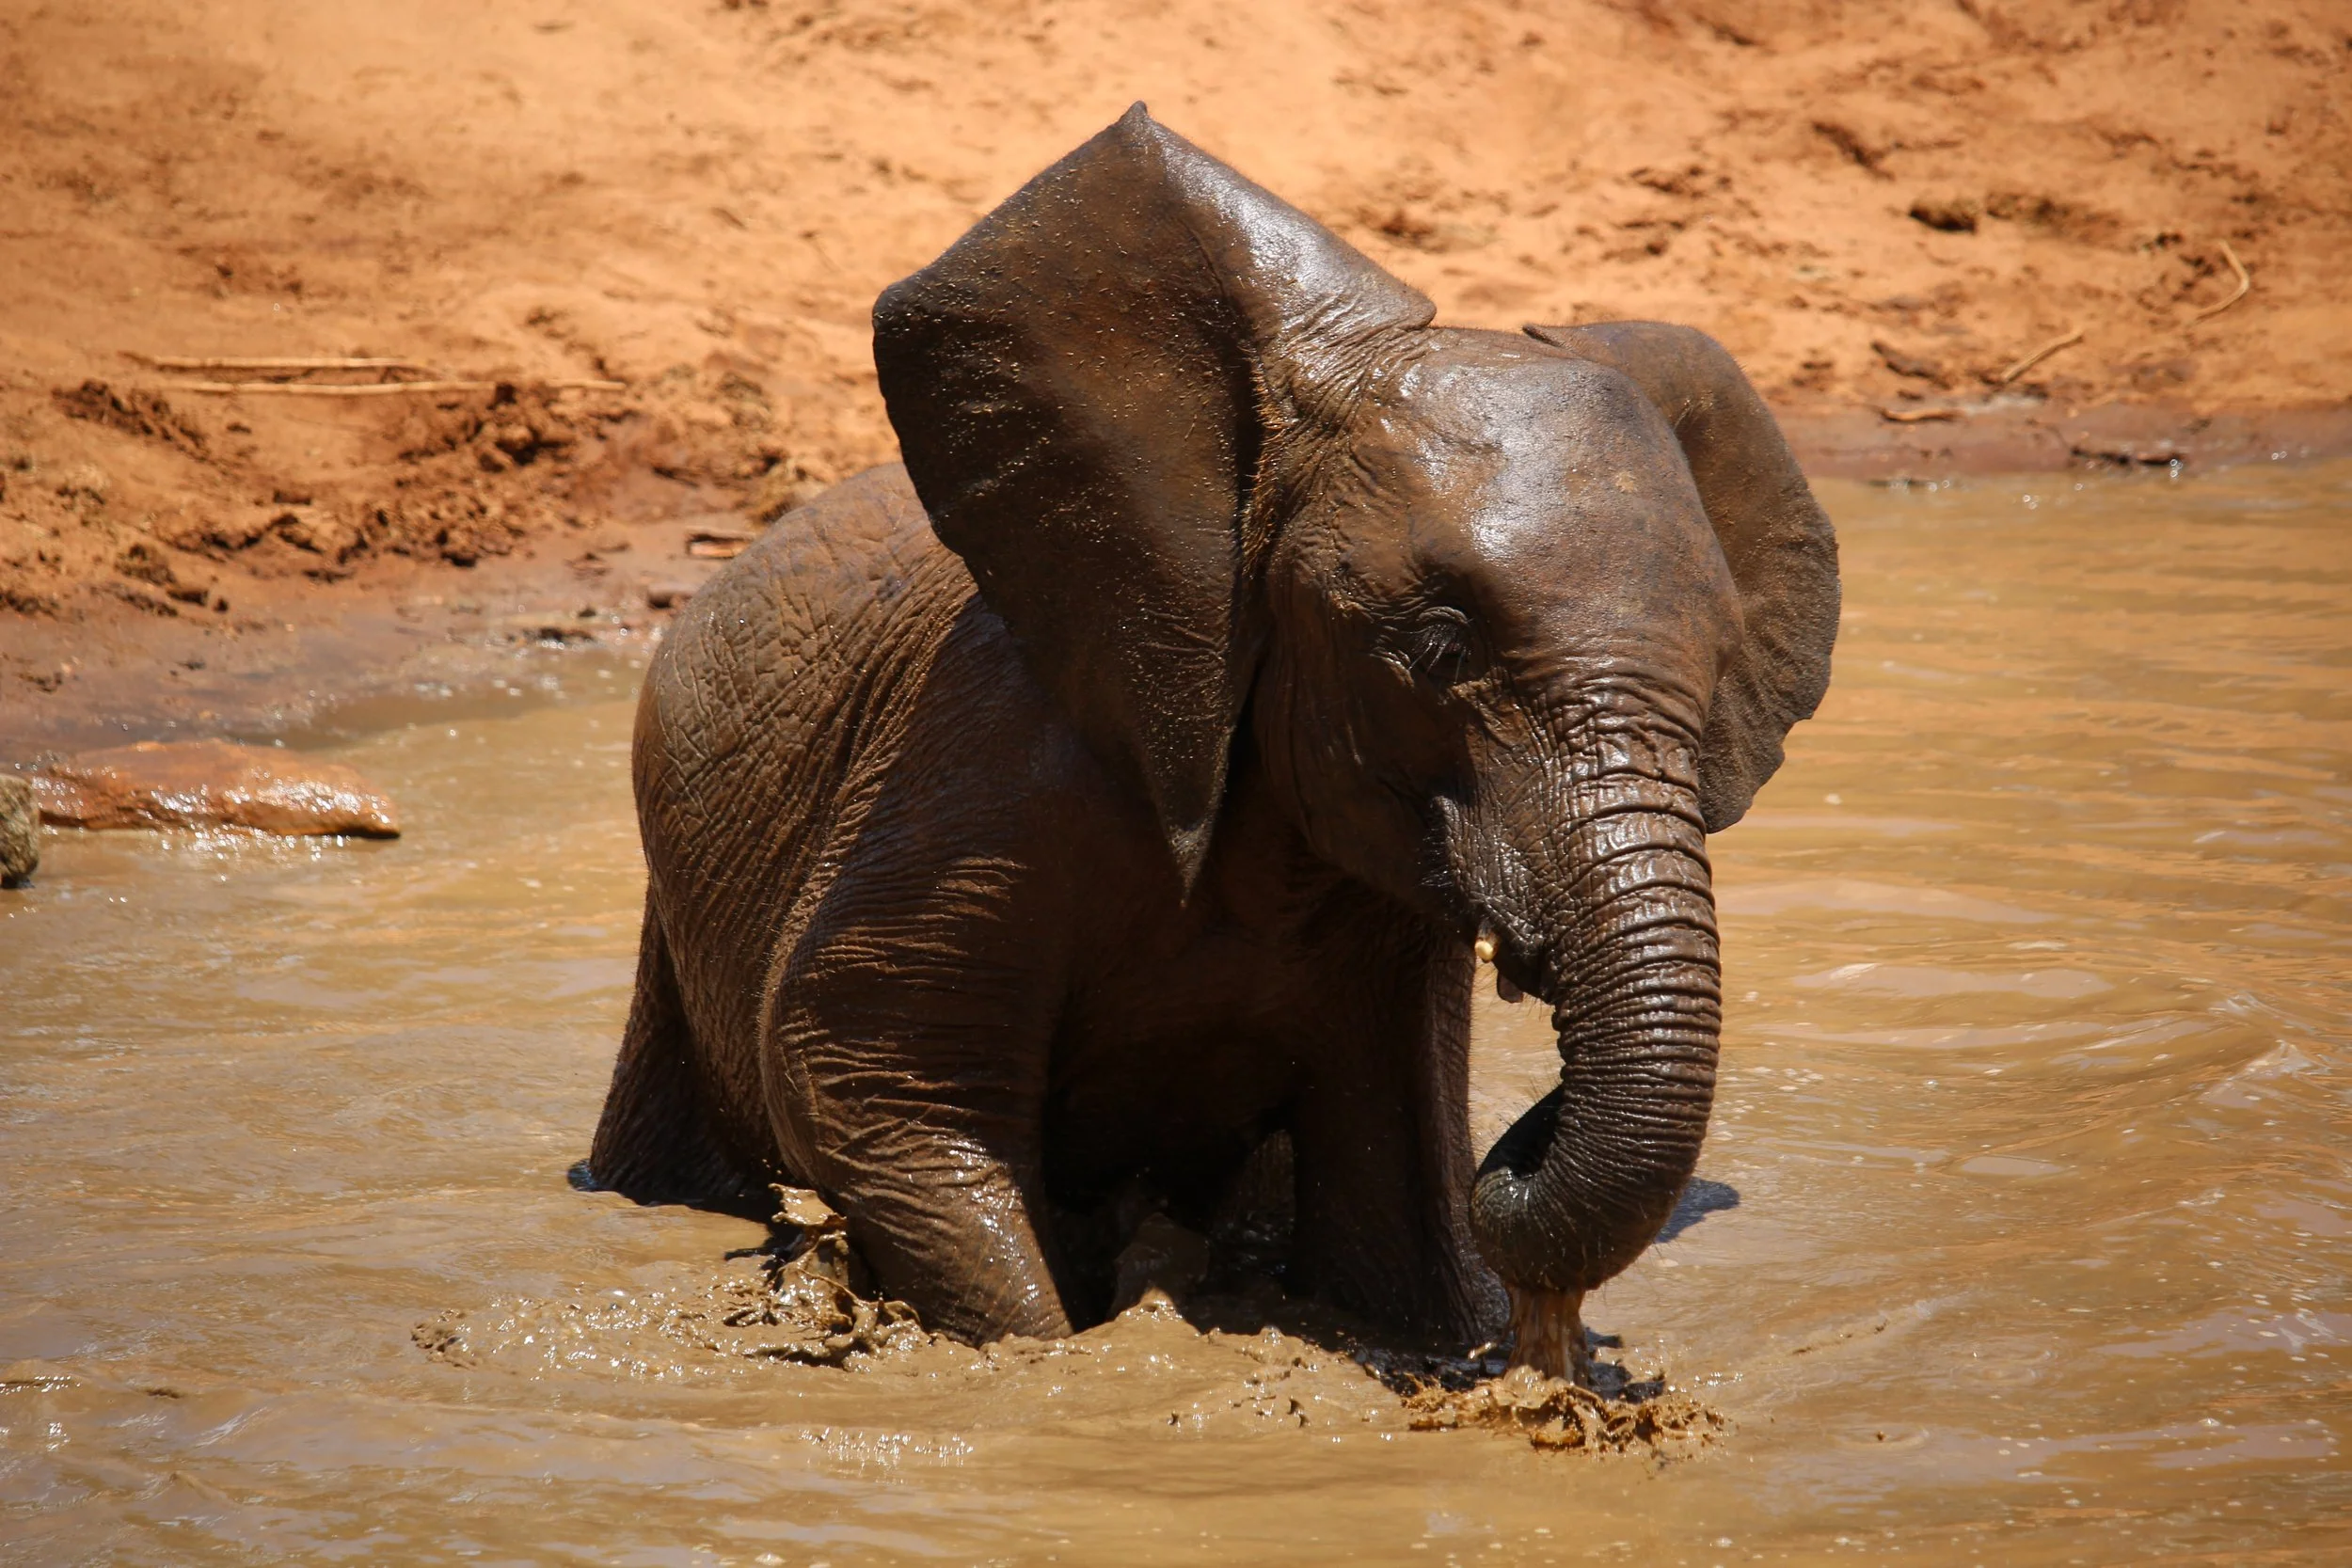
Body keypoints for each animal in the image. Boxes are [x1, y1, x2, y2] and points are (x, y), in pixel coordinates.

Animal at [586, 105, 1838, 1375]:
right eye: (1438, 648)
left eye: (1722, 668)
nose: (1526, 1133)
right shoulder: (986, 764)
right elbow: (862, 1070)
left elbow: (1397, 1196)